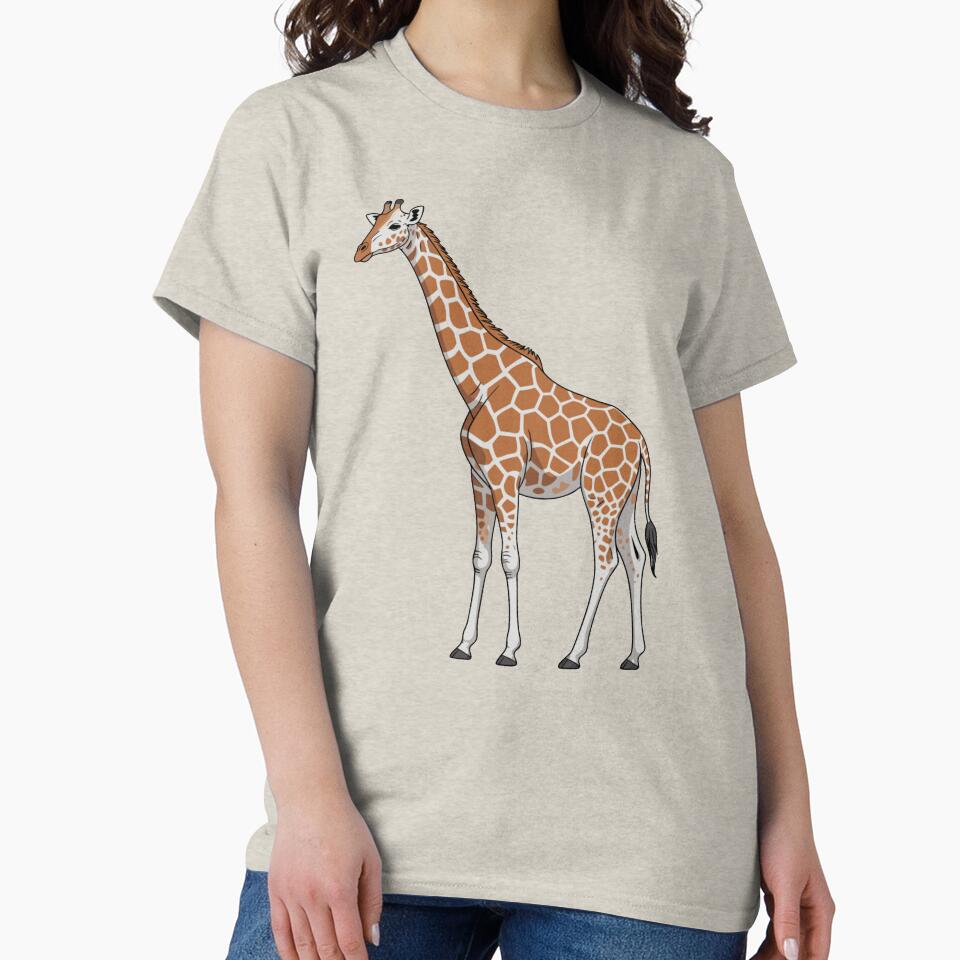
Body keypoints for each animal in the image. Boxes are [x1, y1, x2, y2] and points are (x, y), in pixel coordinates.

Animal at [355, 200, 658, 669]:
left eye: (396, 225)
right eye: (375, 222)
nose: (361, 251)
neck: (478, 382)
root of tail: (641, 441)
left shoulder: (505, 477)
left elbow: (510, 559)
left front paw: (509, 650)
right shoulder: (479, 478)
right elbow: (480, 558)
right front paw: (464, 644)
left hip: (600, 493)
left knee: (606, 561)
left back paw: (574, 653)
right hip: (623, 497)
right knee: (635, 559)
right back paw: (633, 655)